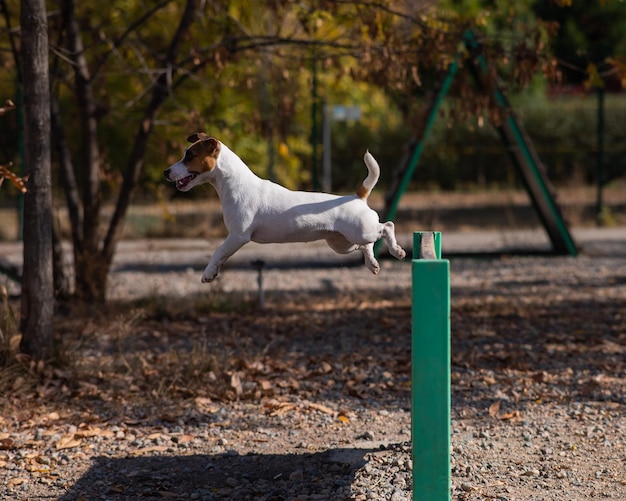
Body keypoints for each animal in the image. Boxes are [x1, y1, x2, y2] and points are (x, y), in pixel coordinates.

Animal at [163, 133, 404, 282]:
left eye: (190, 156)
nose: (166, 172)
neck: (233, 183)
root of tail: (357, 197)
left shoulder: (237, 236)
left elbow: (218, 253)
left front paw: (208, 273)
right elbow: (221, 256)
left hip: (361, 231)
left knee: (387, 226)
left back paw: (396, 250)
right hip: (342, 243)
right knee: (367, 245)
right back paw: (373, 264)